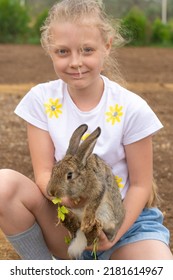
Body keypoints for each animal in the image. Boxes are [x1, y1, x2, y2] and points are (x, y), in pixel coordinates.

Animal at [46, 123, 125, 260]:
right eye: (53, 170)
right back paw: (69, 219)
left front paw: (87, 222)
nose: (51, 192)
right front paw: (75, 200)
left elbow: (91, 206)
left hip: (106, 216)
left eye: (69, 175)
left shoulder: (99, 188)